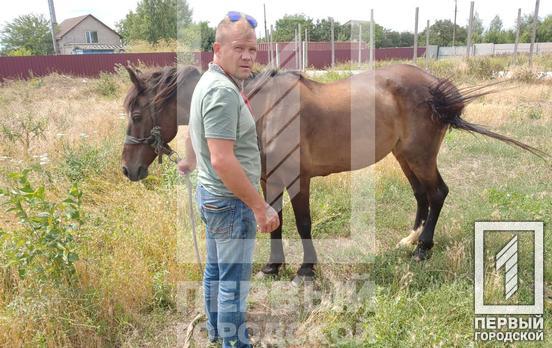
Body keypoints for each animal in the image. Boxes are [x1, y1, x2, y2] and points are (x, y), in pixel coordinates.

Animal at [121, 64, 544, 282]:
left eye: (137, 113)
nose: (129, 169)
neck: (260, 109)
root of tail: (436, 86)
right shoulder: (268, 180)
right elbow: (275, 223)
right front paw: (274, 266)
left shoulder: (297, 180)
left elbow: (303, 223)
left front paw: (306, 269)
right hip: (403, 156)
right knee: (422, 195)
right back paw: (409, 240)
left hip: (419, 155)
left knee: (437, 193)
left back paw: (423, 249)